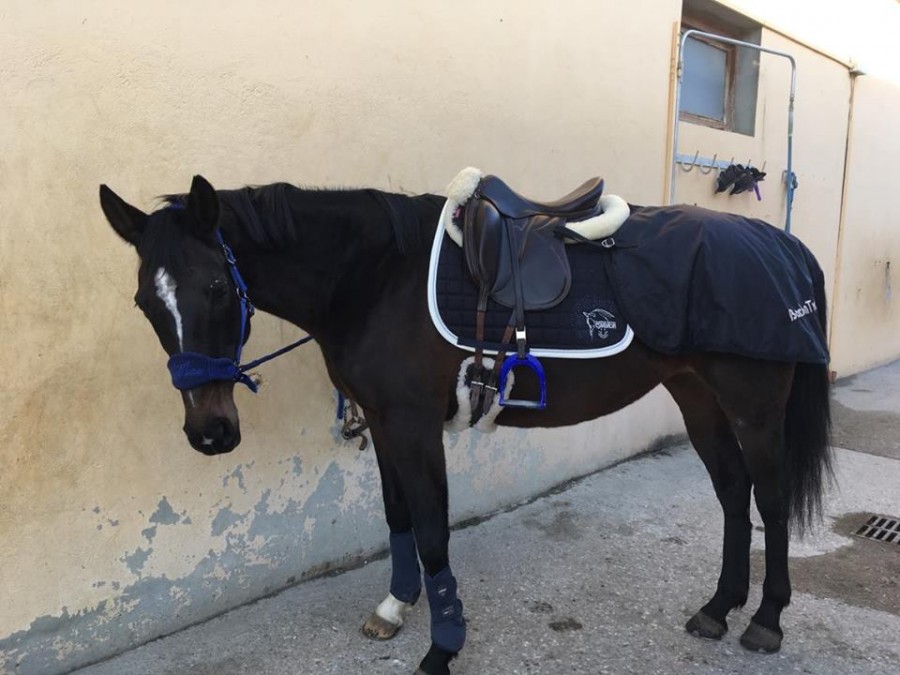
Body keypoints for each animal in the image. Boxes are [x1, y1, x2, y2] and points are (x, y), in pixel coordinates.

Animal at [99, 173, 832, 675]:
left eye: (217, 289)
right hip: (697, 395)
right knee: (734, 494)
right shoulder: (383, 423)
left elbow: (431, 531)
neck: (373, 277)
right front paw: (394, 609)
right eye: (143, 302)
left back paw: (766, 618)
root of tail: (781, 242)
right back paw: (716, 608)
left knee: (769, 499)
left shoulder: (415, 425)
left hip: (753, 405)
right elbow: (398, 518)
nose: (211, 432)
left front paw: (443, 644)